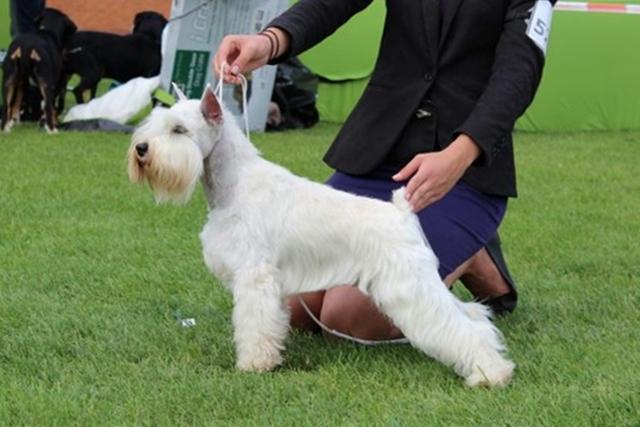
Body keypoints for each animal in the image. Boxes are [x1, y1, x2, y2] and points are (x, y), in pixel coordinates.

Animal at [126, 86, 515, 387]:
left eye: (179, 129)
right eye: (155, 123)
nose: (141, 149)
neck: (234, 182)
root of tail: (401, 211)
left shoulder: (254, 277)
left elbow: (253, 323)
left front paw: (254, 363)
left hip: (408, 287)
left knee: (458, 327)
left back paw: (490, 374)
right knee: (471, 316)